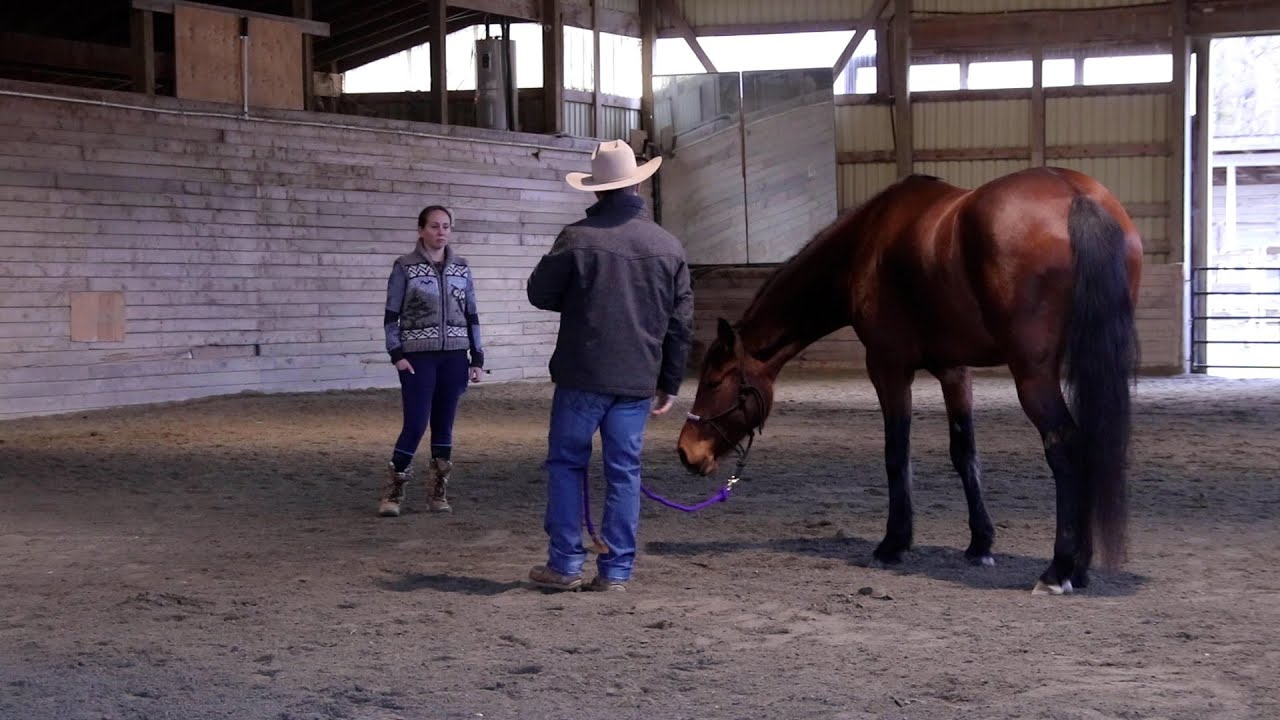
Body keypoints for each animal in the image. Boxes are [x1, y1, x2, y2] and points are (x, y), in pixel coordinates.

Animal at [676, 167, 1141, 595]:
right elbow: (965, 454)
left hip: (1033, 375)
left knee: (1066, 447)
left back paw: (1060, 570)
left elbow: (896, 453)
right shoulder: (955, 371)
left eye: (714, 381)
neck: (866, 242)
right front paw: (980, 544)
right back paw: (1079, 566)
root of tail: (1076, 194)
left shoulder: (887, 367)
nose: (686, 451)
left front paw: (893, 544)